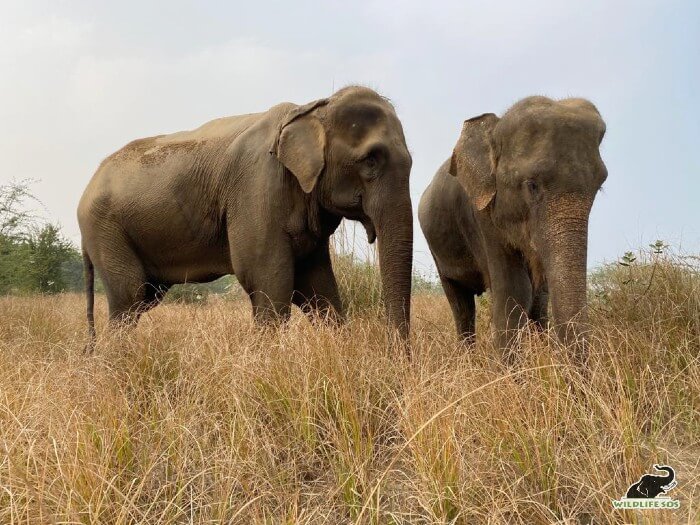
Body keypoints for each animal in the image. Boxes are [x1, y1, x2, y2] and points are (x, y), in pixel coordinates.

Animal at [78, 86, 412, 344]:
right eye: (370, 160)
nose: (396, 360)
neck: (313, 108)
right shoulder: (255, 189)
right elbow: (269, 282)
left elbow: (318, 288)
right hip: (105, 229)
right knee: (129, 296)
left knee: (141, 299)